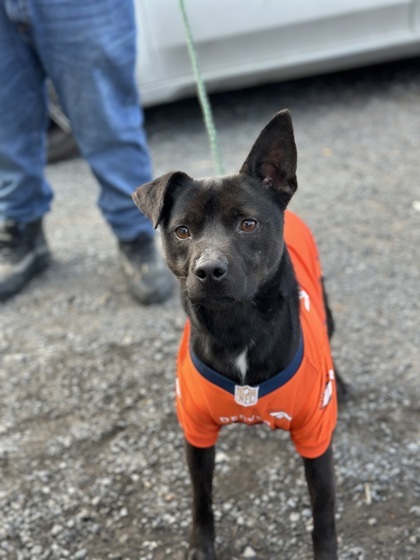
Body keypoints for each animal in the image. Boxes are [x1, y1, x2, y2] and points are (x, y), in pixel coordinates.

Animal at [133, 110, 346, 560]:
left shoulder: (316, 440)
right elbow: (201, 498)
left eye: (248, 224)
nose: (209, 270)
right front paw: (201, 545)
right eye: (182, 231)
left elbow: (323, 513)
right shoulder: (196, 434)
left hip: (327, 311)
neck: (239, 327)